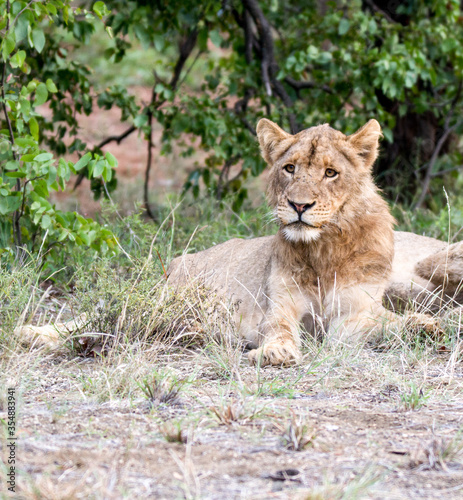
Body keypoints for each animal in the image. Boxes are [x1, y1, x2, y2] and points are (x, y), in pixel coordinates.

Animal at [169, 117, 463, 368]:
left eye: (330, 173)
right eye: (289, 168)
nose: (299, 205)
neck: (325, 250)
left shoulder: (352, 315)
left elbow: (389, 324)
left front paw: (425, 326)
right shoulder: (281, 304)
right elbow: (278, 328)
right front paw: (275, 351)